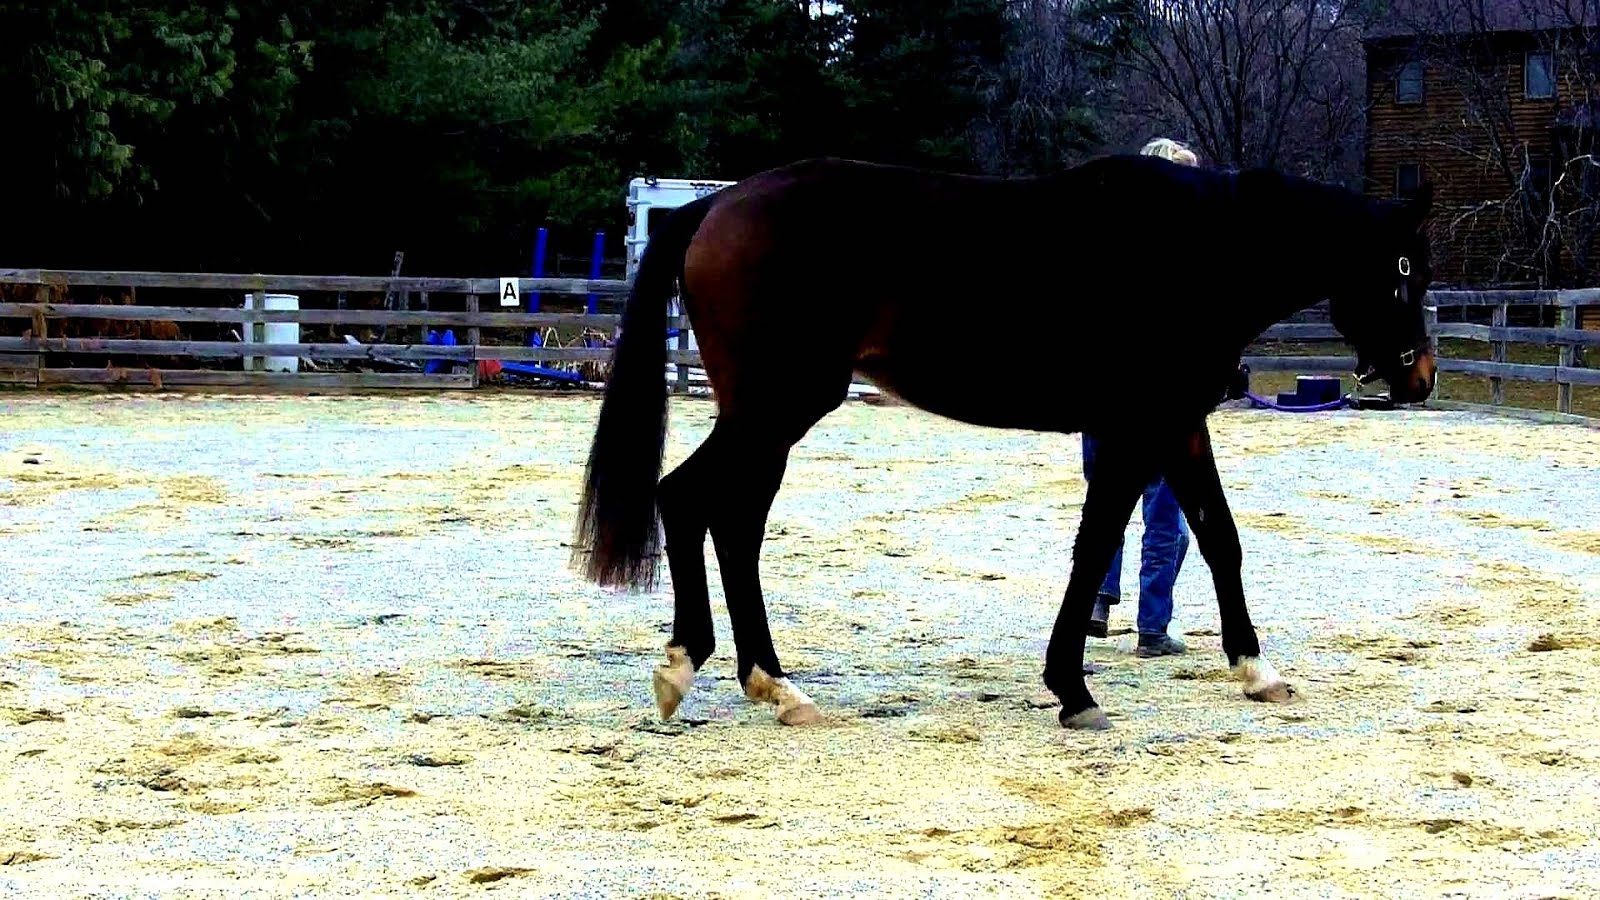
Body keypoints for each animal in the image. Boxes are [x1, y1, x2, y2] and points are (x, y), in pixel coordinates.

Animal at [569, 153, 1436, 731]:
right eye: (1404, 272)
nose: (1421, 376)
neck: (1194, 250)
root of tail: (716, 204)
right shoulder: (1134, 429)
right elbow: (1096, 548)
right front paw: (1073, 689)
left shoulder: (1177, 426)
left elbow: (1220, 539)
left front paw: (1257, 670)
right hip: (775, 407)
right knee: (691, 501)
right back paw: (697, 669)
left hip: (770, 416)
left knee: (731, 522)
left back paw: (772, 684)